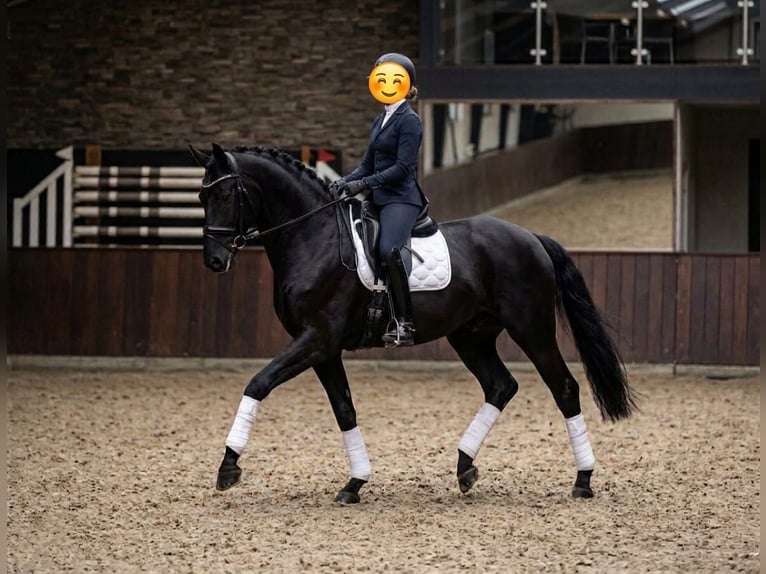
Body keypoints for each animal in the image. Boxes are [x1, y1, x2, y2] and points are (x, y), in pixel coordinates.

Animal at [189, 142, 636, 505]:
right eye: (201, 195)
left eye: (226, 193)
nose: (214, 260)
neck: (313, 238)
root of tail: (530, 237)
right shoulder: (323, 348)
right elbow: (345, 410)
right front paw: (354, 483)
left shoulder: (315, 339)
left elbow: (258, 383)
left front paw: (228, 467)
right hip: (470, 336)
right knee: (500, 386)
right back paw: (465, 468)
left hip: (532, 329)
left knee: (564, 388)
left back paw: (582, 480)